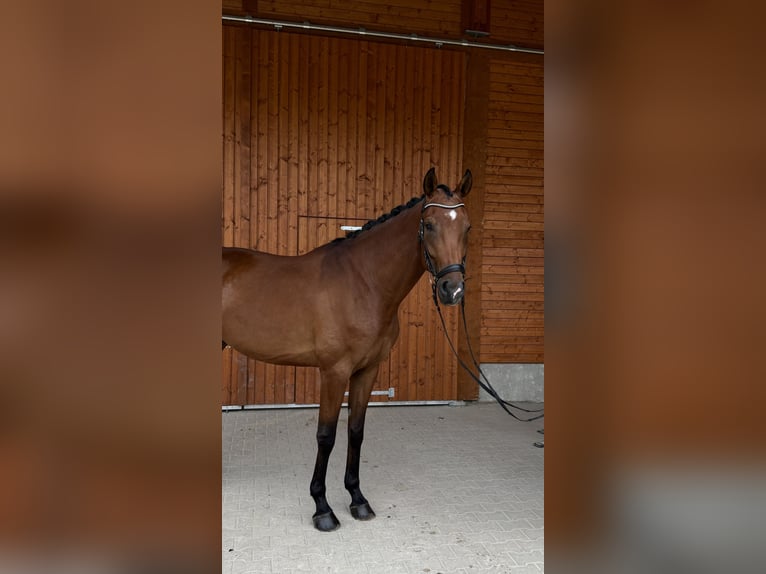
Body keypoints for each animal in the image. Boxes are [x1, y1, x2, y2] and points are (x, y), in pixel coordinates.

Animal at [222, 167, 472, 531]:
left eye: (467, 227)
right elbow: (326, 436)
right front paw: (322, 508)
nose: (451, 290)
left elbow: (356, 431)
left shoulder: (368, 371)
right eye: (428, 225)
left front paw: (357, 499)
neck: (363, 283)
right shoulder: (334, 372)